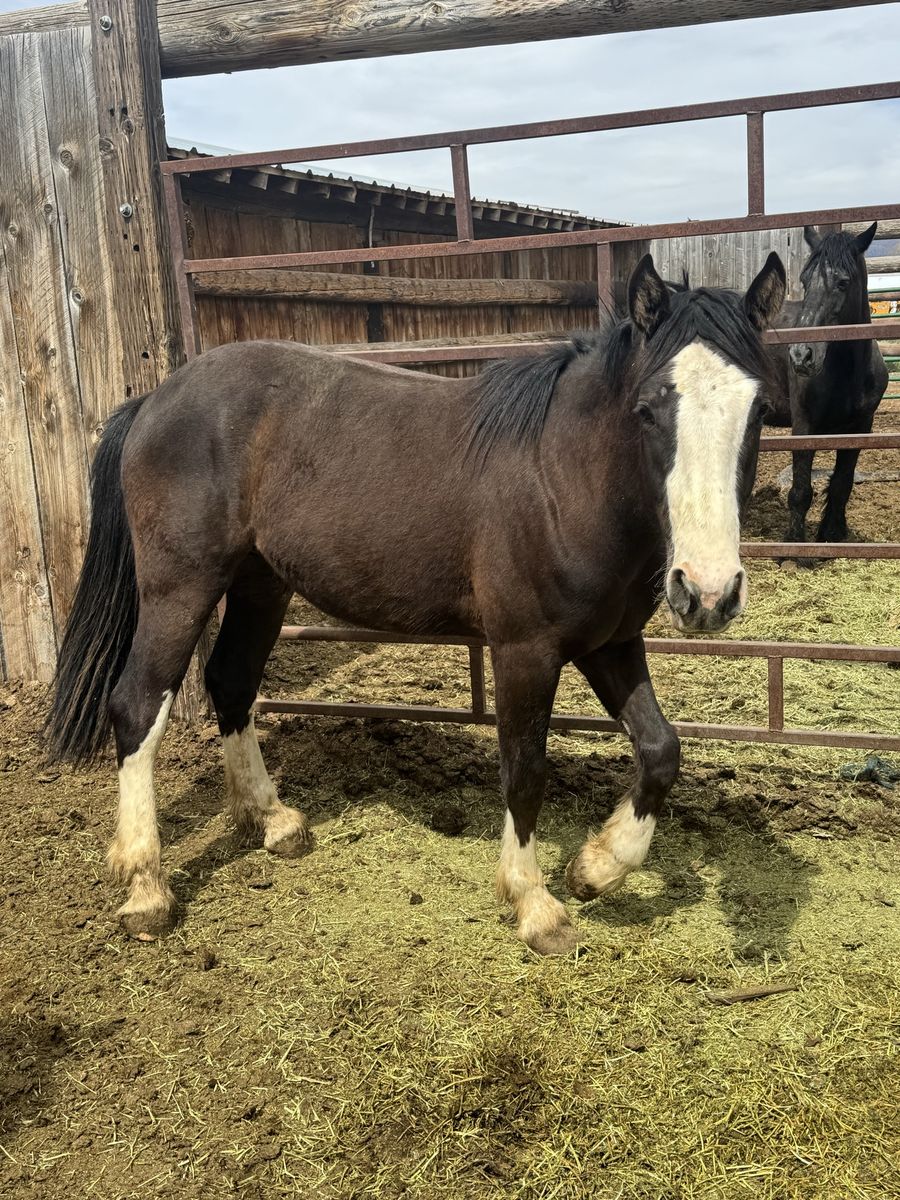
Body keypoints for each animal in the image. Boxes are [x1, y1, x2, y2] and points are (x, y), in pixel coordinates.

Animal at [46, 252, 786, 954]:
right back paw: (145, 888)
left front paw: (598, 866)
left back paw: (273, 821)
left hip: (260, 583)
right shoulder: (525, 651)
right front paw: (534, 903)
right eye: (650, 408)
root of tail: (155, 399)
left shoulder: (610, 643)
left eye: (759, 411)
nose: (708, 591)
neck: (562, 477)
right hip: (181, 586)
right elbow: (525, 770)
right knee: (137, 705)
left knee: (230, 681)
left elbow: (661, 749)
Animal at [767, 222, 888, 546]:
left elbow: (842, 484)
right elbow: (800, 490)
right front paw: (794, 545)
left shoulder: (860, 428)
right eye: (805, 280)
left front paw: (832, 534)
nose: (801, 354)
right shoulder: (804, 426)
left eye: (843, 282)